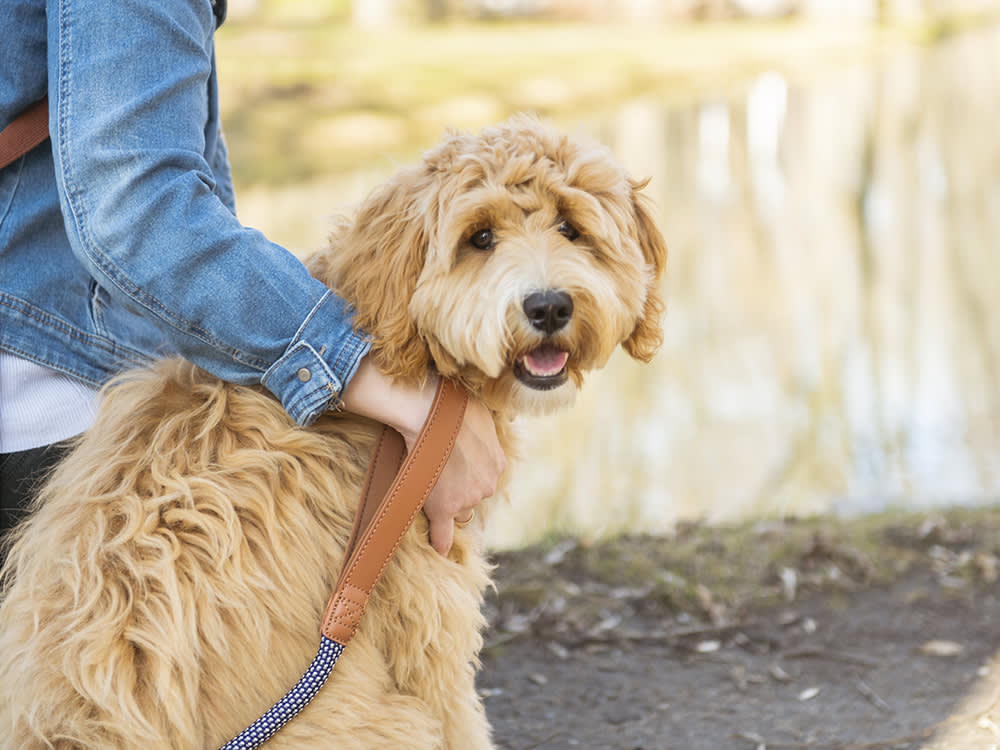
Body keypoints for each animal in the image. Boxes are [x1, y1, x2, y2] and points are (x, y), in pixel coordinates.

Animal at [3, 114, 668, 748]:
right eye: (480, 237)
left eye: (571, 228)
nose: (549, 306)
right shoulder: (426, 605)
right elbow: (459, 716)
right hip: (389, 722)